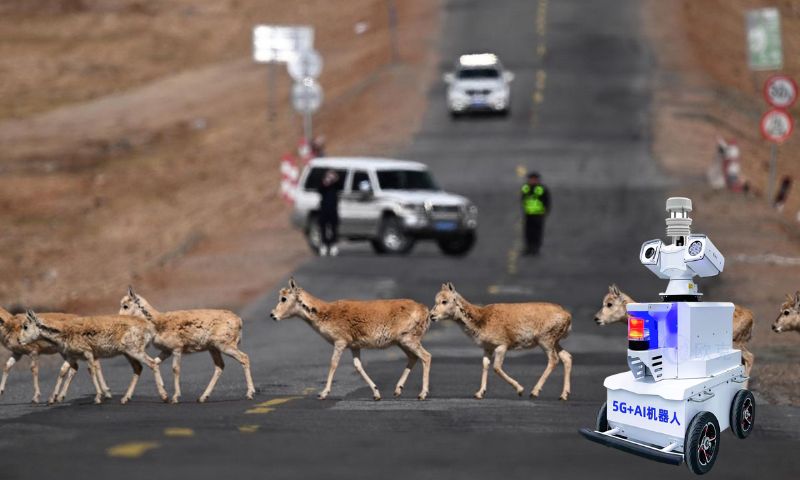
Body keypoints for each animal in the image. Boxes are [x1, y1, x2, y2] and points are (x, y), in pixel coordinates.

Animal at [19, 310, 169, 404]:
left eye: (25, 326)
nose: (19, 341)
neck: (64, 331)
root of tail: (149, 327)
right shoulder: (72, 357)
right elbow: (63, 372)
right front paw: (52, 399)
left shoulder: (88, 354)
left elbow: (91, 371)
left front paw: (97, 398)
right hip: (128, 353)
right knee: (138, 368)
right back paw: (125, 398)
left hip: (134, 351)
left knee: (152, 363)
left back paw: (164, 396)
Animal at [119, 287, 255, 403]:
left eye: (125, 306)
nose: (119, 318)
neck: (159, 322)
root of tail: (238, 320)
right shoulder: (166, 351)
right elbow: (155, 363)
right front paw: (127, 398)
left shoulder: (176, 349)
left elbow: (175, 369)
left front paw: (175, 397)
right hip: (214, 349)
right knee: (219, 366)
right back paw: (202, 398)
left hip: (226, 346)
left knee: (244, 358)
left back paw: (250, 394)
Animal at [270, 278, 432, 401]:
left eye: (283, 298)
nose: (272, 315)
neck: (324, 312)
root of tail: (425, 311)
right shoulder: (354, 346)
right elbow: (358, 366)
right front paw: (376, 393)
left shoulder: (340, 342)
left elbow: (333, 363)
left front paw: (323, 393)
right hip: (402, 342)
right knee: (413, 357)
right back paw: (398, 390)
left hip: (408, 340)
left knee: (426, 356)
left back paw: (422, 394)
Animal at [429, 282, 572, 400]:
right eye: (436, 300)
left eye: (444, 301)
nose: (431, 315)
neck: (481, 319)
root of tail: (568, 316)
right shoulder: (487, 348)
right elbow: (485, 365)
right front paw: (479, 393)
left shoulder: (502, 345)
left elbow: (496, 367)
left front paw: (520, 390)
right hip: (555, 342)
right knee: (567, 357)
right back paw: (563, 395)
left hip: (545, 340)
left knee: (554, 359)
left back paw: (534, 392)